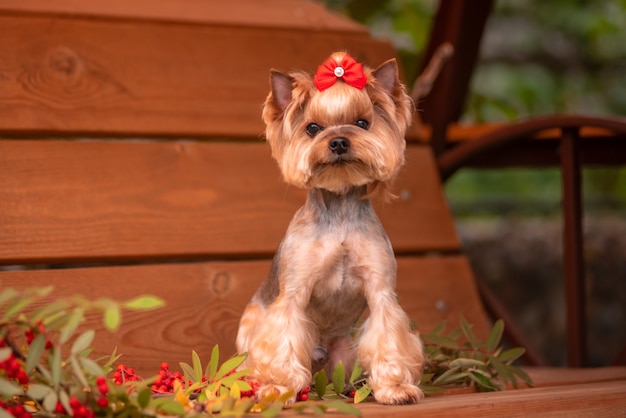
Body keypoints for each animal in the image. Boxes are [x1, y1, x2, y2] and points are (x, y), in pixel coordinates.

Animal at [235, 51, 424, 404]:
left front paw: (394, 387)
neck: (339, 213)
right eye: (312, 128)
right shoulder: (294, 290)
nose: (337, 141)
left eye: (363, 123)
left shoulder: (380, 289)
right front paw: (280, 386)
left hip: (344, 356)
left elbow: (388, 334)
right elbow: (284, 337)